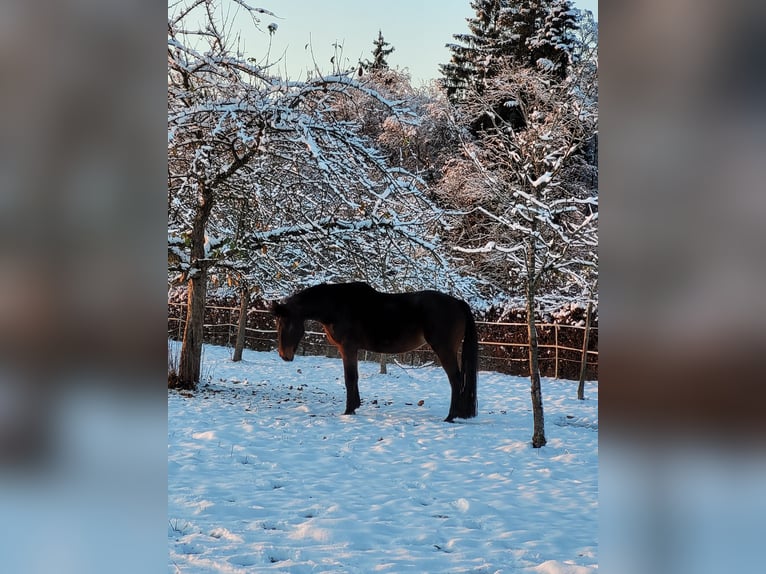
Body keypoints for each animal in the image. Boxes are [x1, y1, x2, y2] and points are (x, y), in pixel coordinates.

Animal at [268, 284, 476, 424]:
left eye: (285, 324)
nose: (284, 355)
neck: (336, 306)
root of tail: (458, 303)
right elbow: (355, 378)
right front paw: (355, 406)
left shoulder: (348, 348)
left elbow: (350, 378)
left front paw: (348, 410)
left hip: (444, 350)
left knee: (456, 380)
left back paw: (450, 417)